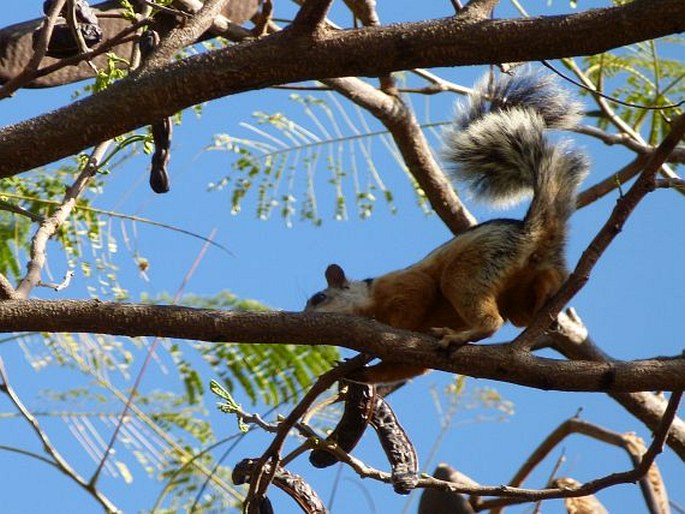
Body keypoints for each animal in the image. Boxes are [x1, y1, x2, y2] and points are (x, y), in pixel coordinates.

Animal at [304, 67, 588, 380]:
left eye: (319, 297)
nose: (304, 320)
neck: (370, 296)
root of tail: (531, 232)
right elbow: (404, 365)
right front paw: (357, 374)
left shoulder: (405, 285)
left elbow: (415, 301)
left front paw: (372, 348)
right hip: (523, 293)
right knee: (531, 302)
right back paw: (549, 309)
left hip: (469, 271)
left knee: (490, 319)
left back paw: (461, 335)